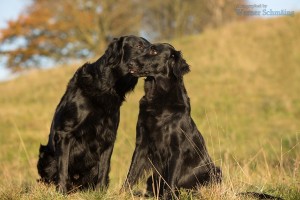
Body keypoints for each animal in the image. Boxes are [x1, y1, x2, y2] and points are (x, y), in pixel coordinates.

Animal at [37, 35, 150, 193]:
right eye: (139, 46)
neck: (106, 86)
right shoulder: (65, 133)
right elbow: (63, 167)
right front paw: (61, 192)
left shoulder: (109, 136)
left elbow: (104, 167)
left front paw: (100, 192)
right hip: (45, 155)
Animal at [123, 43, 221, 198]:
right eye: (144, 49)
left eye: (154, 51)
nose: (129, 63)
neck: (158, 98)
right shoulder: (141, 143)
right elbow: (131, 174)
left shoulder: (176, 149)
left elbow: (170, 181)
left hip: (216, 171)